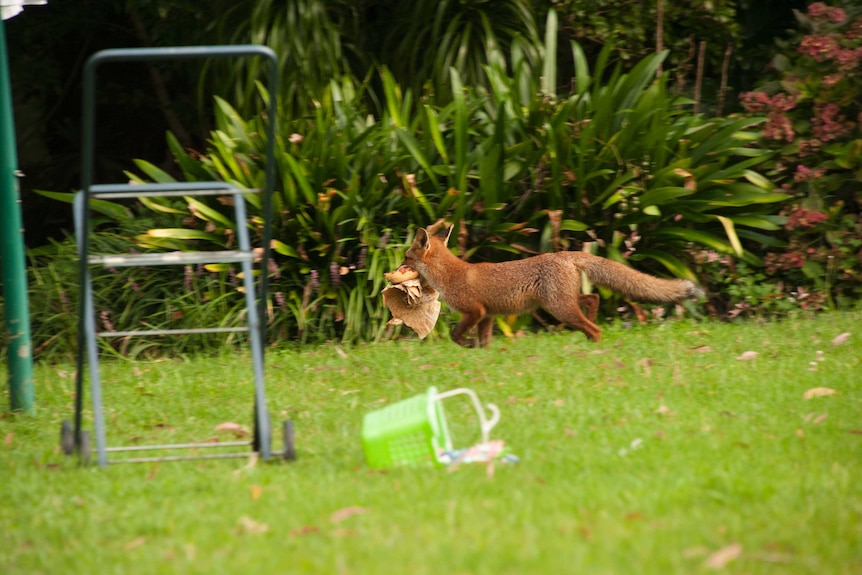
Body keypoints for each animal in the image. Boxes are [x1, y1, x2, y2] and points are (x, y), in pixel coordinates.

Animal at [402, 227, 704, 348]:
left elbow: (455, 335)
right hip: (562, 302)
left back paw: (594, 346)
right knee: (592, 299)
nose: (396, 267)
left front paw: (466, 345)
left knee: (594, 326)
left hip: (559, 308)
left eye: (406, 257)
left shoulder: (474, 312)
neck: (451, 274)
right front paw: (480, 352)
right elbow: (484, 341)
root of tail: (565, 254)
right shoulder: (487, 316)